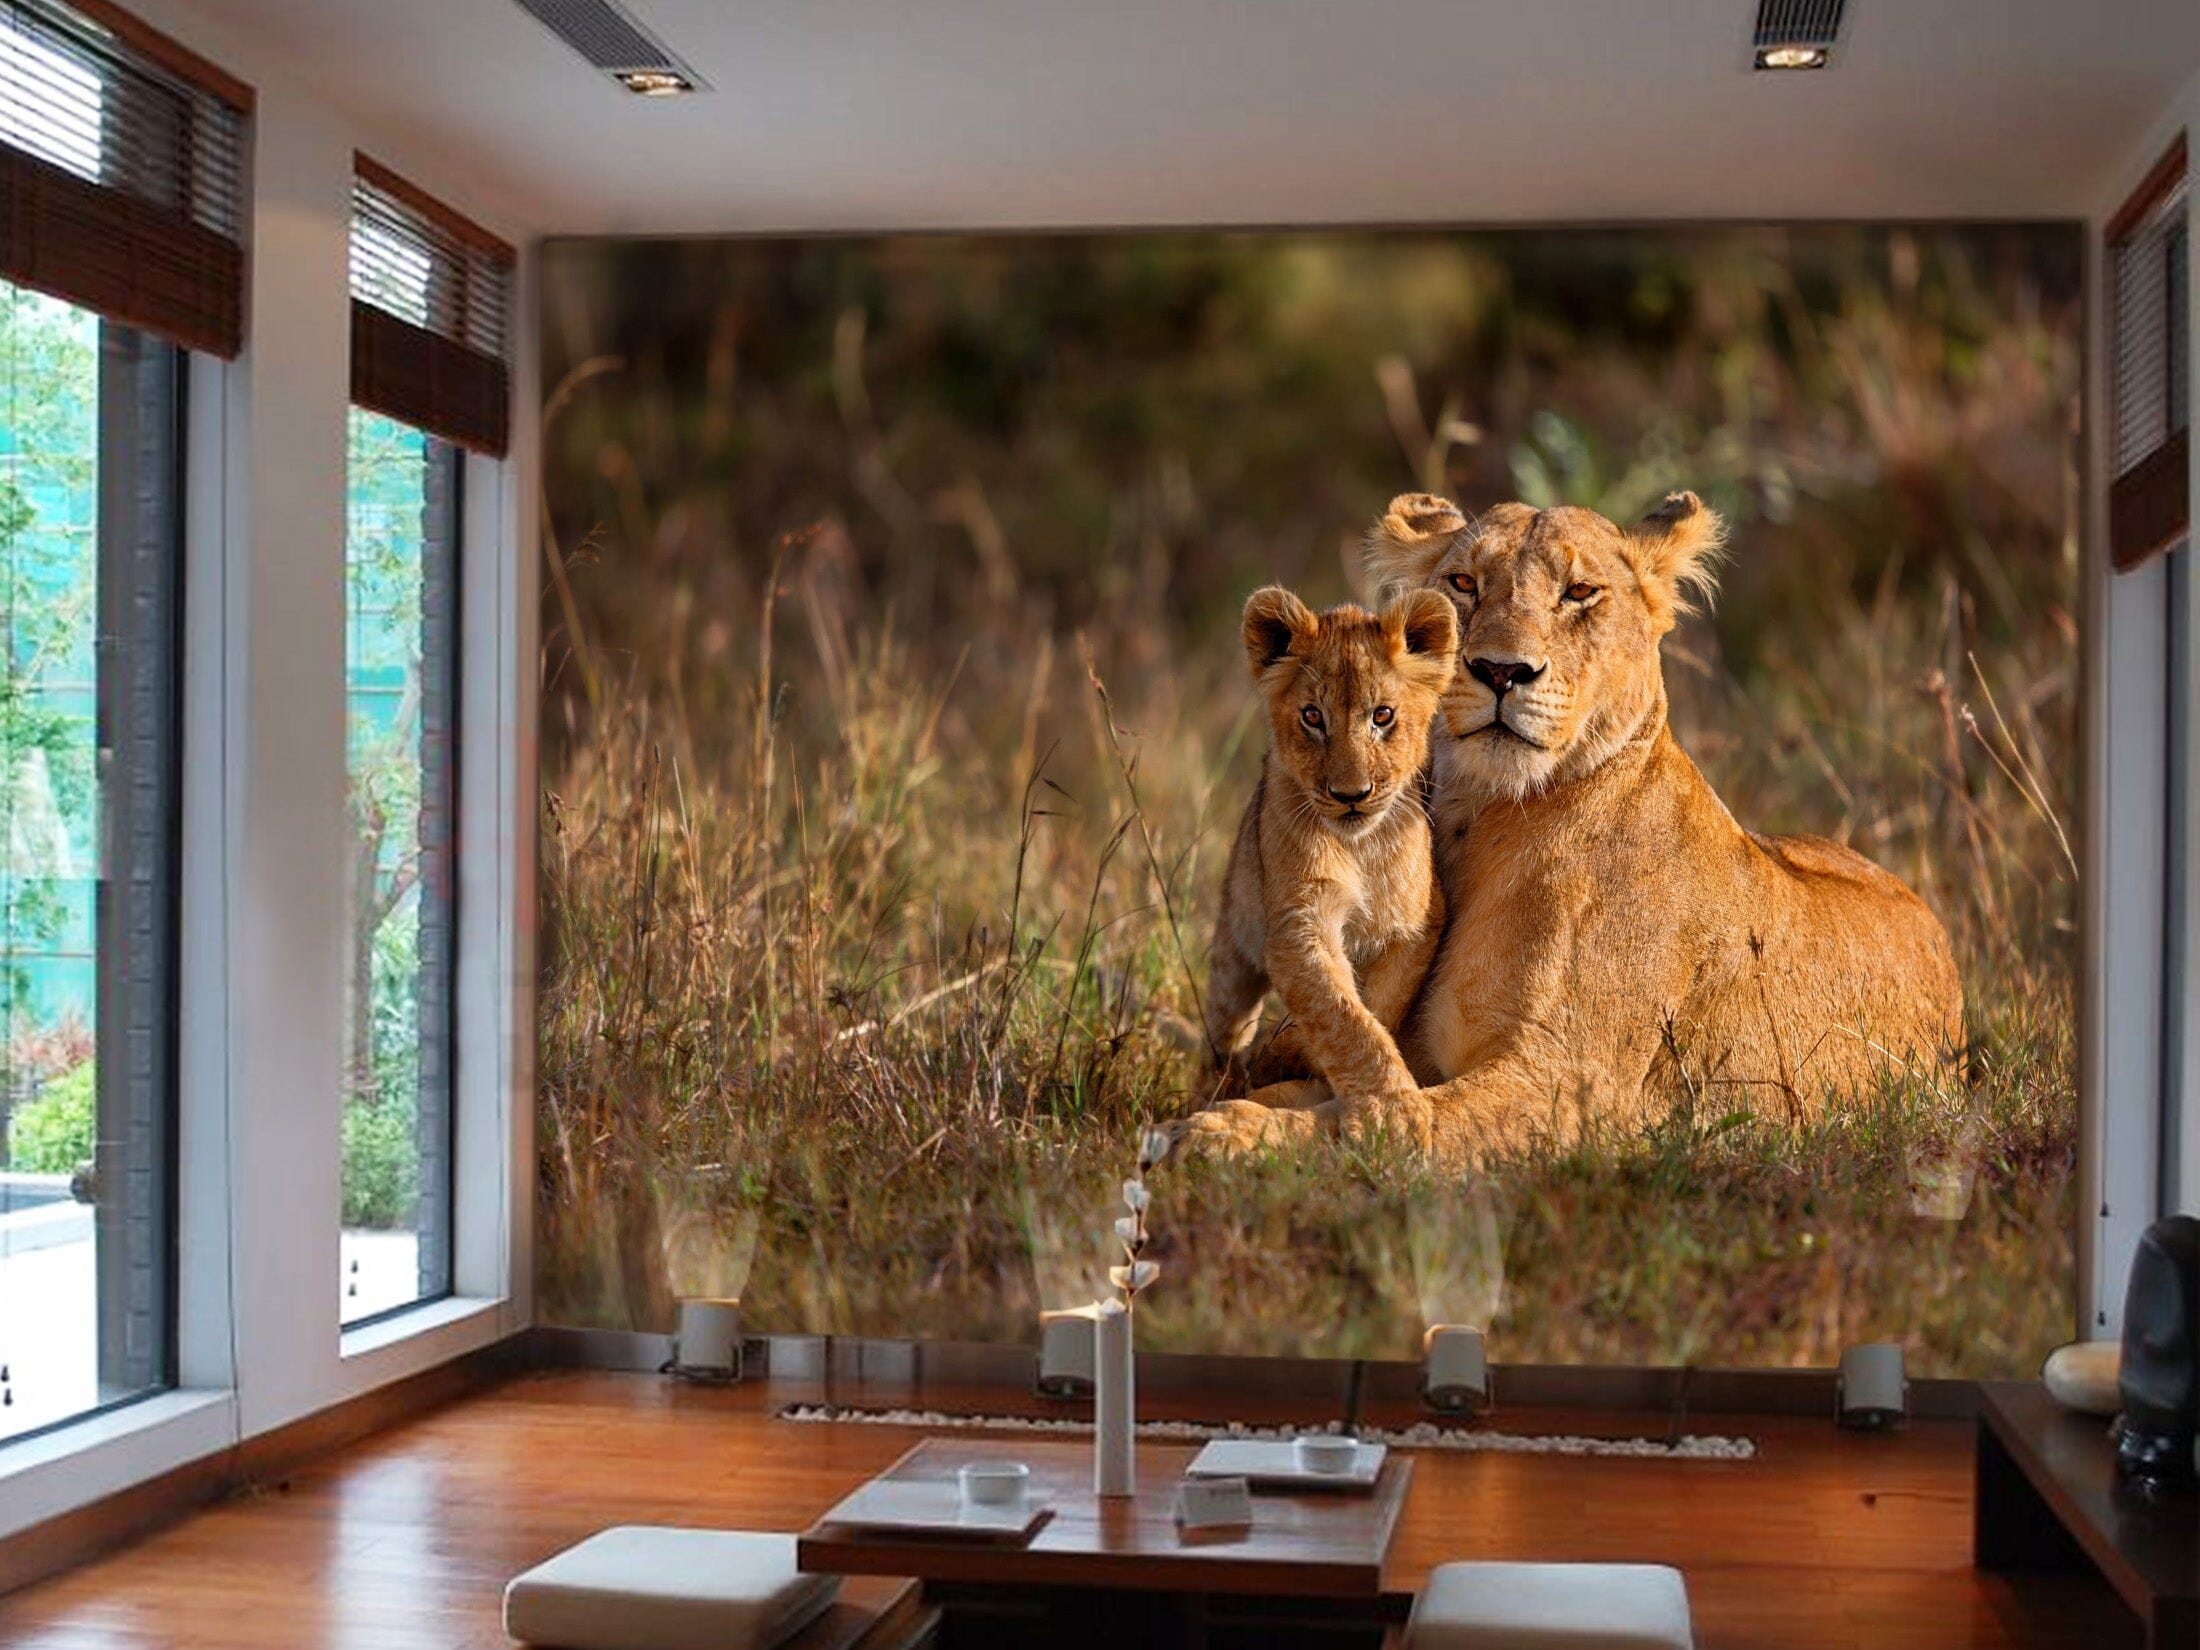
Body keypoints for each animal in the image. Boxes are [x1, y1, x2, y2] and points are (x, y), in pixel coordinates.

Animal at [1199, 585, 1459, 1105]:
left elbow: (1376, 1006)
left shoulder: (1417, 923)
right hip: (1233, 945)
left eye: (1382, 715)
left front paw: (1289, 1052)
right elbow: (1344, 1019)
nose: (1350, 795)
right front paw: (1394, 1109)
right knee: (1222, 1029)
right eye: (1313, 717)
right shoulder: (1299, 925)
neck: (1360, 848)